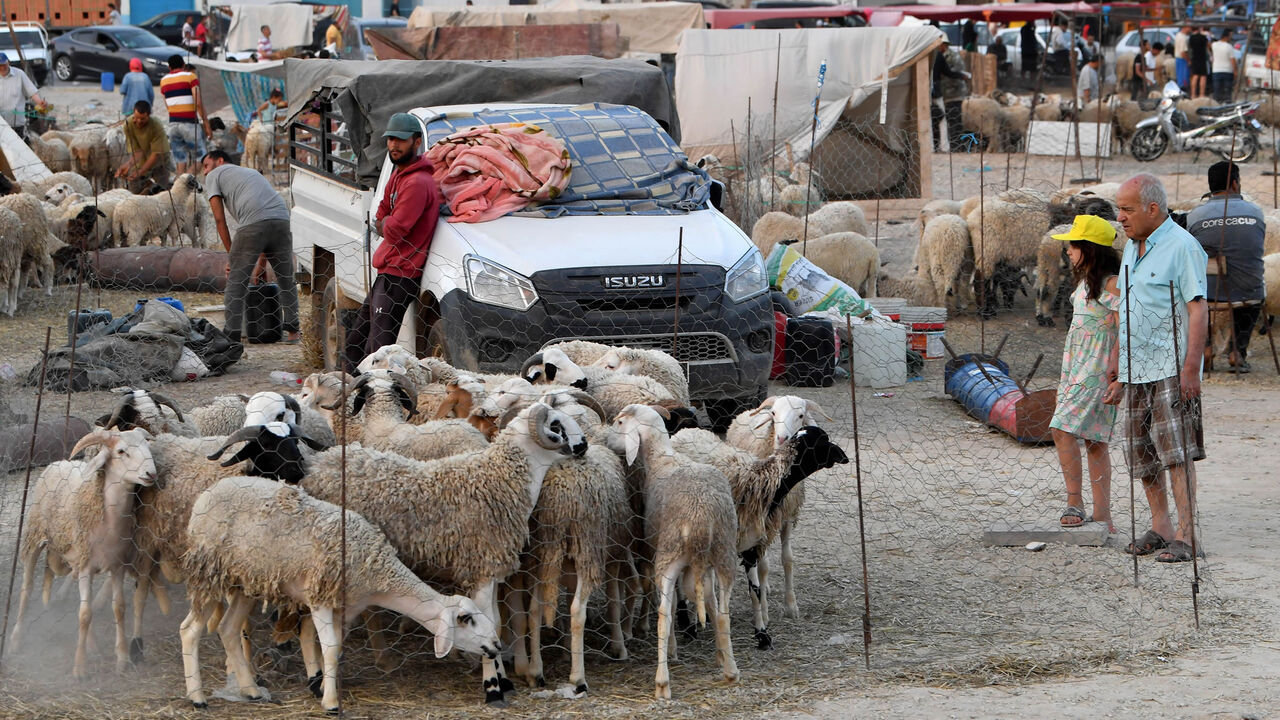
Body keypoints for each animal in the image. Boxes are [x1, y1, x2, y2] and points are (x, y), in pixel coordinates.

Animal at [180, 474, 499, 707]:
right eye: (467, 619)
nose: (496, 645)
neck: (377, 573)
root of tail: (208, 492)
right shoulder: (320, 596)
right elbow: (331, 647)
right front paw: (331, 702)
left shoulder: (347, 606)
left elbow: (335, 649)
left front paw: (323, 687)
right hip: (209, 571)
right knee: (190, 629)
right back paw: (197, 697)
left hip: (247, 581)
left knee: (228, 628)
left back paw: (250, 690)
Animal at [606, 404, 742, 696]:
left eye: (620, 423)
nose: (607, 441)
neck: (661, 458)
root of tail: (702, 518)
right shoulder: (708, 569)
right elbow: (711, 605)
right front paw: (719, 654)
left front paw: (673, 650)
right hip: (724, 554)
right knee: (723, 613)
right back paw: (731, 671)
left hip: (668, 555)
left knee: (663, 615)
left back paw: (662, 682)